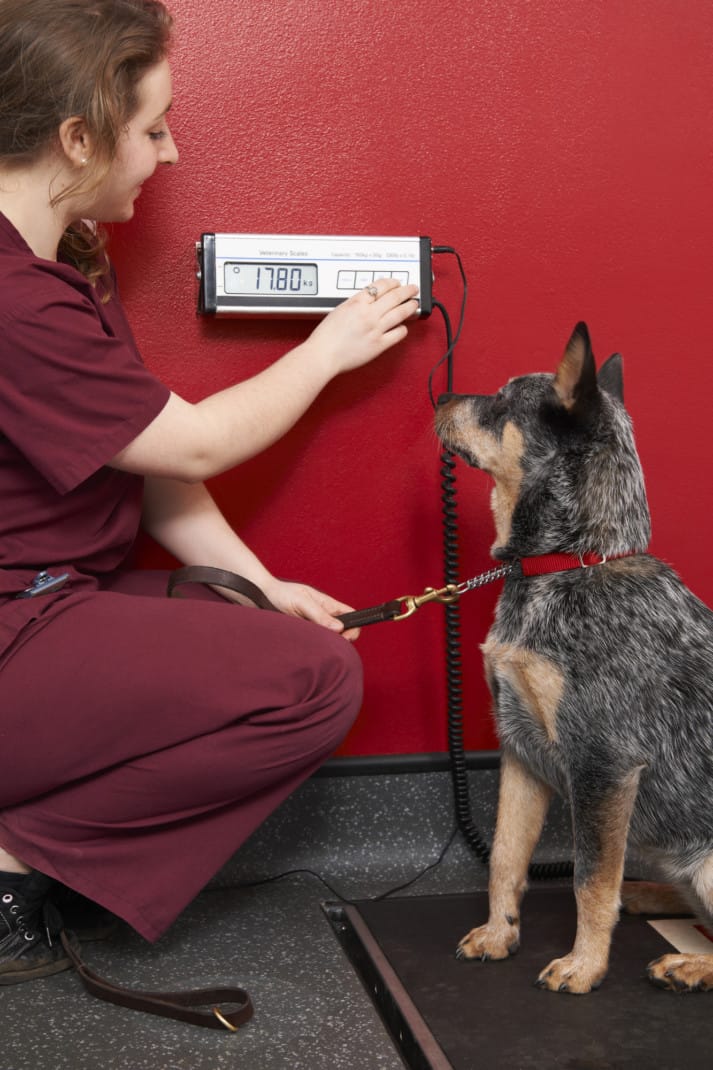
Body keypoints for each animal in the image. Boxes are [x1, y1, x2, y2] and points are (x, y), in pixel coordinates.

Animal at [432, 325, 710, 992]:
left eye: (502, 401)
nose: (438, 396)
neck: (570, 564)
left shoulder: (603, 763)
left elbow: (589, 880)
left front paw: (584, 967)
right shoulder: (520, 746)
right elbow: (505, 857)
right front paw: (499, 934)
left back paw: (689, 963)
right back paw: (648, 894)